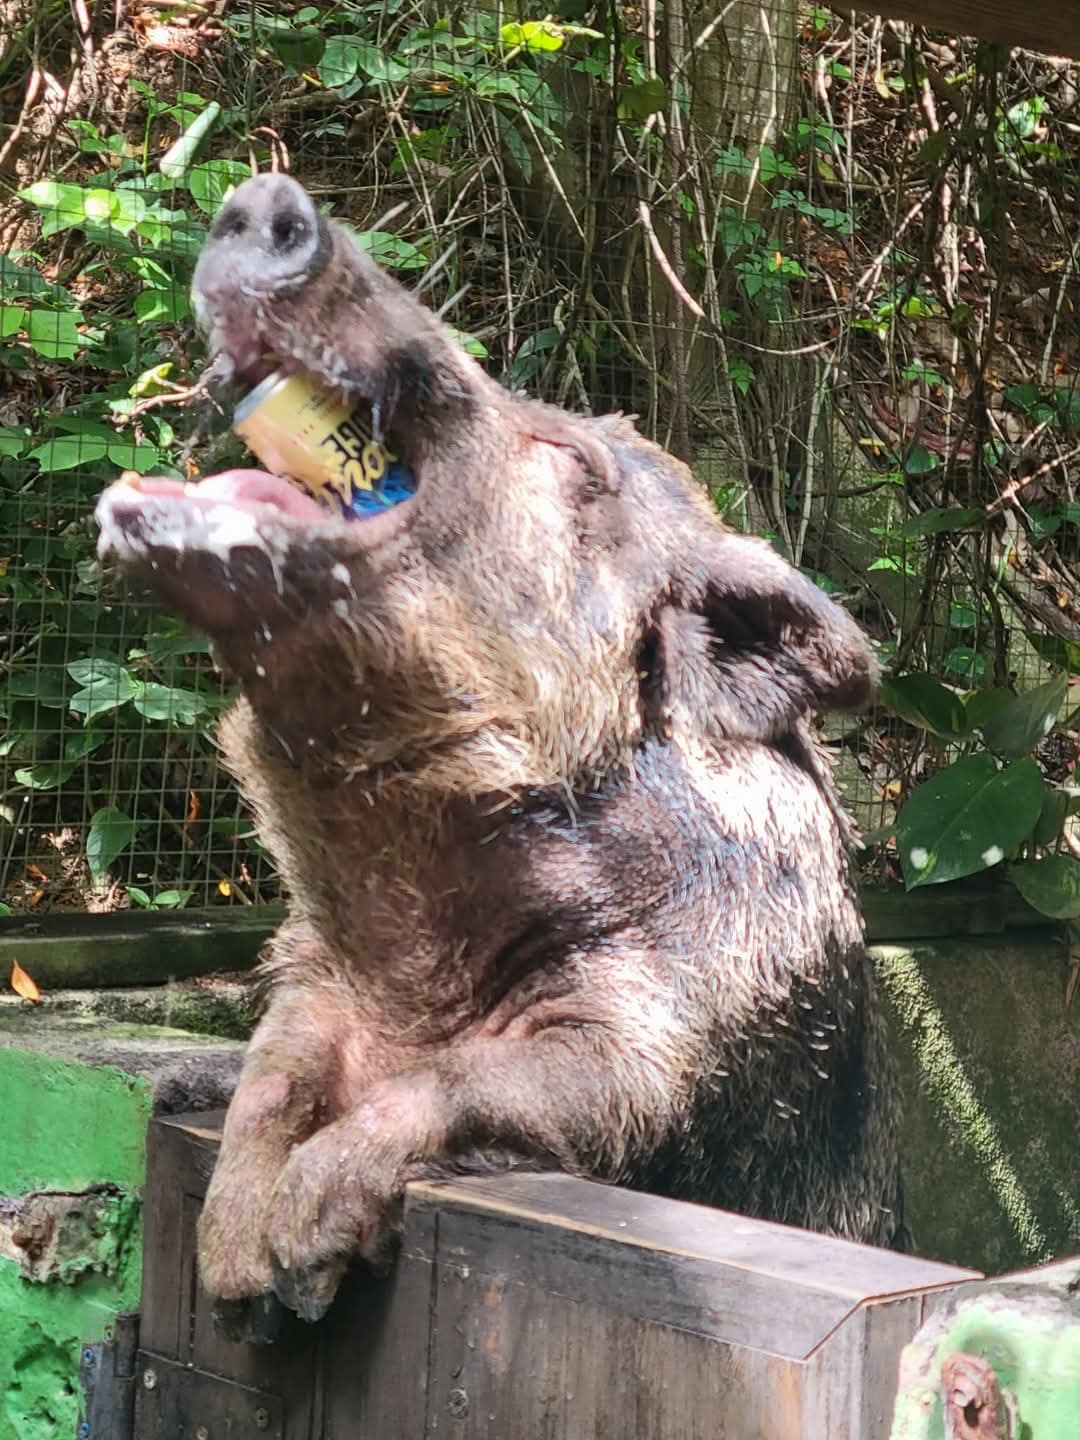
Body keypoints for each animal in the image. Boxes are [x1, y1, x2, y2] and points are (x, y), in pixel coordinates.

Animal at [94, 173, 902, 1333]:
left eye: (574, 462)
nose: (266, 193)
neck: (409, 927)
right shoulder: (314, 963)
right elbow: (275, 1061)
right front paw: (237, 1264)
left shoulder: (672, 1030)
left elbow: (506, 1082)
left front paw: (300, 1254)